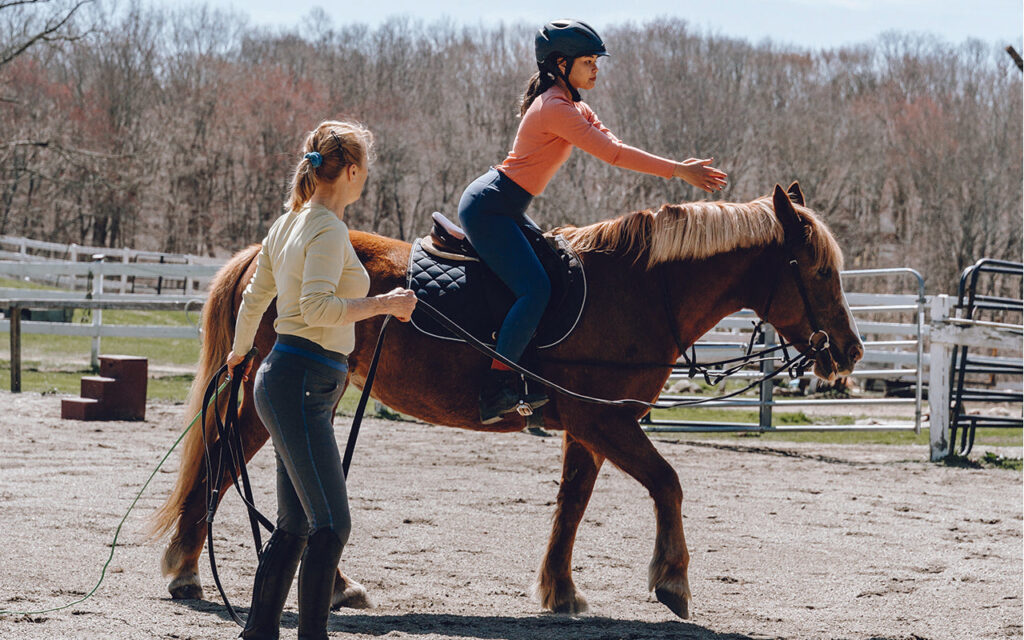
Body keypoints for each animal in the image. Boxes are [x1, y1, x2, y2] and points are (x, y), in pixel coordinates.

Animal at [146, 183, 864, 618]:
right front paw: (672, 579)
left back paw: (336, 583)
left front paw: (560, 590)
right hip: (265, 398)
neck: (637, 291)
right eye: (818, 269)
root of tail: (266, 253)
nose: (850, 350)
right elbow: (668, 482)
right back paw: (185, 569)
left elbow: (572, 506)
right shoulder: (605, 420)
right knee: (221, 462)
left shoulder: (587, 426)